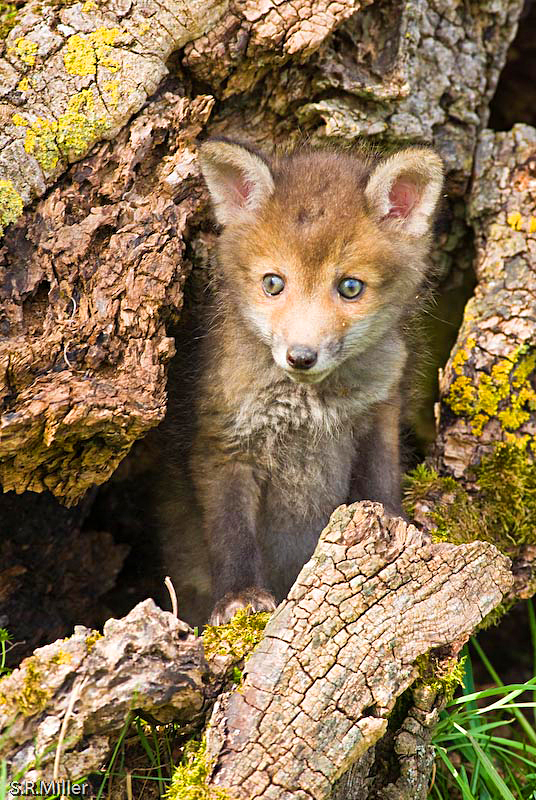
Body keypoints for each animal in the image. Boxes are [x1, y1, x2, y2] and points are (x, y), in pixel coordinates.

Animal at [156, 139, 443, 625]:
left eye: (350, 287)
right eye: (273, 283)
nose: (301, 357)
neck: (311, 406)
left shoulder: (380, 413)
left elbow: (381, 486)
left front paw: (397, 527)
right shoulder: (224, 443)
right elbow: (232, 534)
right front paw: (240, 598)